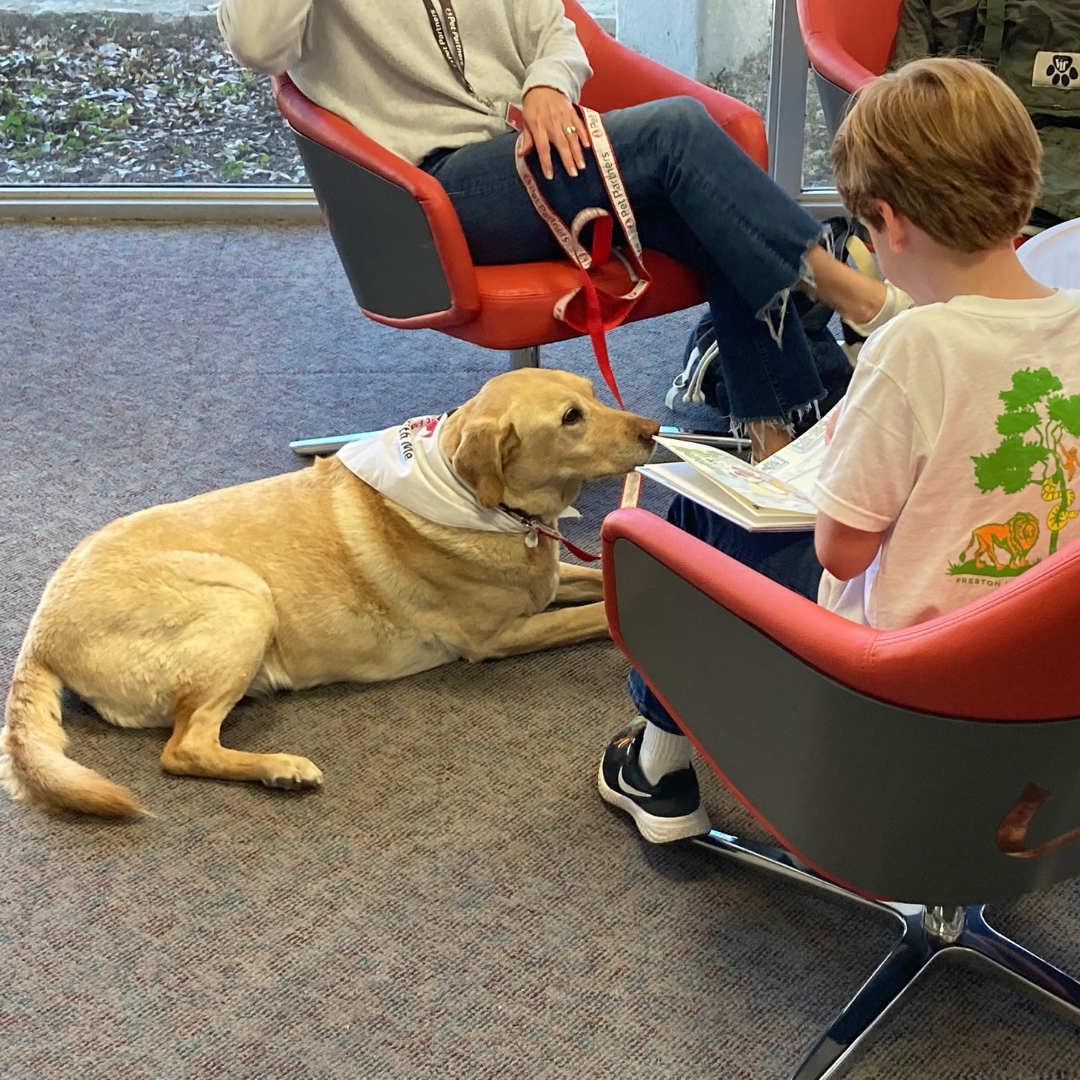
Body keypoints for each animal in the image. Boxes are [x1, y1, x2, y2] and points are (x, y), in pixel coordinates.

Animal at [0, 371, 656, 816]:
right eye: (571, 417)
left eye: (592, 393)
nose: (652, 430)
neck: (482, 499)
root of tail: (39, 637)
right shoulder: (501, 636)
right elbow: (602, 615)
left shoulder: (549, 583)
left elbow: (599, 586)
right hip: (244, 600)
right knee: (182, 750)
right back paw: (280, 769)